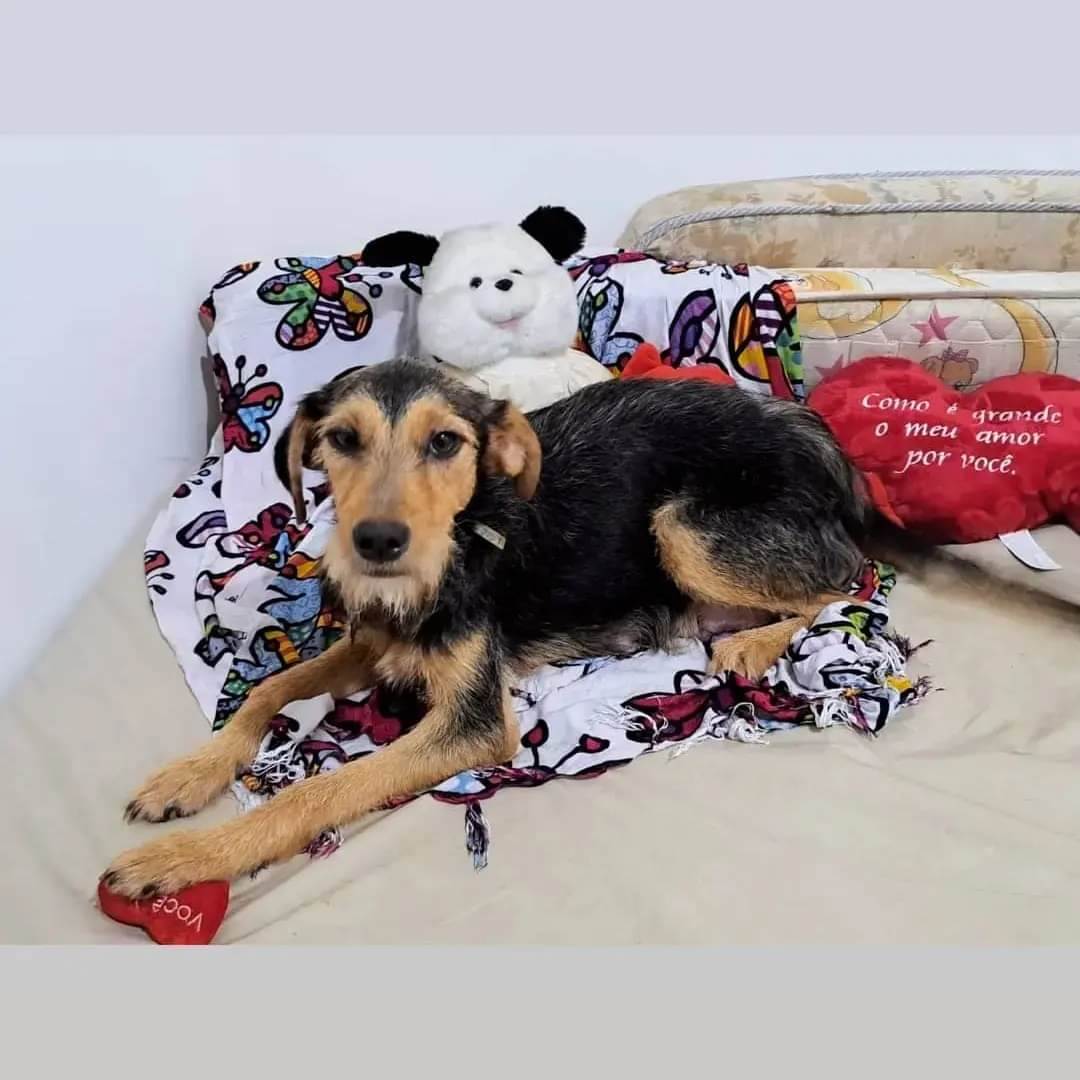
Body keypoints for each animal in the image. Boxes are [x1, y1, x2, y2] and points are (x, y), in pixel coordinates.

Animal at [102, 359, 874, 898]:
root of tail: (820, 443)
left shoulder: (474, 725)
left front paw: (186, 858)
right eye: (342, 440)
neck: (458, 547)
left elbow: (325, 788)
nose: (376, 542)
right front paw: (188, 774)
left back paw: (750, 642)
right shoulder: (372, 646)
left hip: (685, 527)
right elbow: (267, 691)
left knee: (846, 582)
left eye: (445, 442)